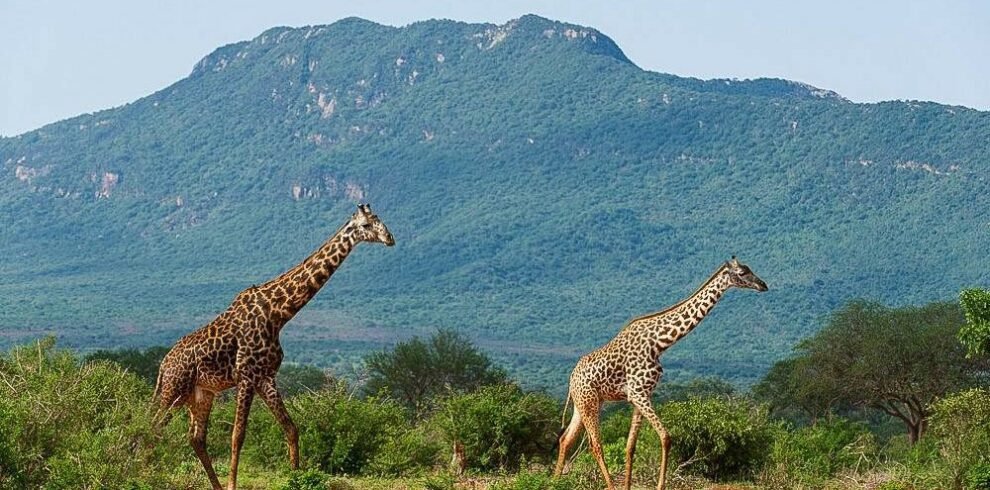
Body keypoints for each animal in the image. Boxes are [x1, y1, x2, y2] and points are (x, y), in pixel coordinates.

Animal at [152, 204, 394, 490]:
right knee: (154, 426)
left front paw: (296, 477)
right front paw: (234, 485)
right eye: (367, 225)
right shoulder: (246, 375)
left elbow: (290, 427)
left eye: (381, 220)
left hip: (200, 394)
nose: (390, 238)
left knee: (196, 437)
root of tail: (163, 365)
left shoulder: (266, 377)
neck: (278, 313)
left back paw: (212, 485)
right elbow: (238, 435)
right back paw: (146, 471)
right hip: (175, 389)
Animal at [554, 257, 767, 490]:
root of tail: (571, 379)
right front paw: (659, 485)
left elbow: (630, 446)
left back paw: (554, 482)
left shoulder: (641, 395)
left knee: (565, 439)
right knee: (595, 444)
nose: (763, 285)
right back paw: (606, 485)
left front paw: (629, 485)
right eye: (743, 272)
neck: (659, 343)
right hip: (589, 402)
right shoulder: (638, 393)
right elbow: (665, 437)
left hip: (585, 403)